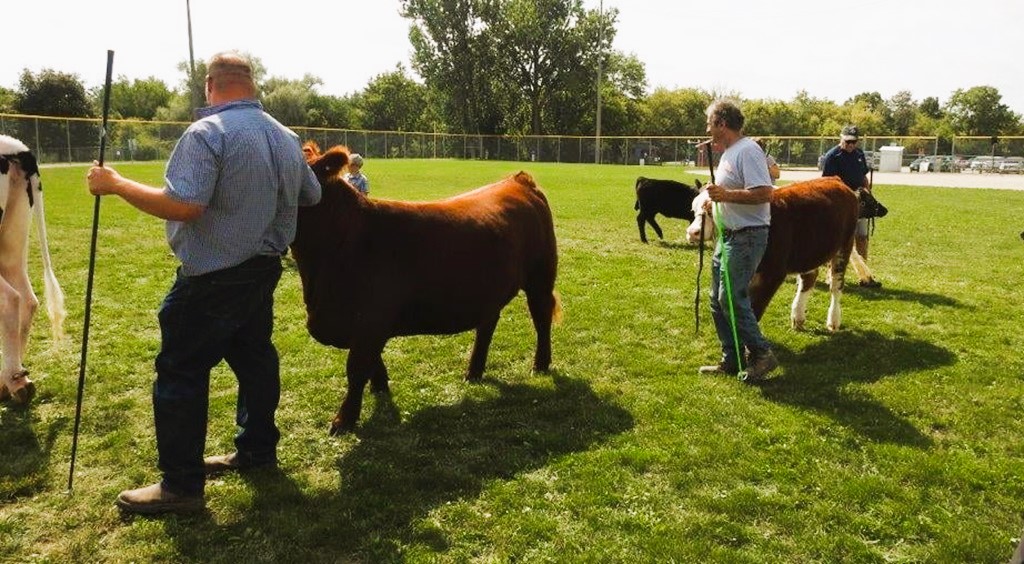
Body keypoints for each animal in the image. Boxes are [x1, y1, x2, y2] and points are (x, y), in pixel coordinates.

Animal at [295, 142, 561, 434]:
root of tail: (518, 180)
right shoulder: (365, 324)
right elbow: (372, 363)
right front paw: (380, 387)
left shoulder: (371, 320)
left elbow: (357, 369)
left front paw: (343, 420)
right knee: (487, 324)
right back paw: (474, 371)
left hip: (540, 277)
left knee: (541, 318)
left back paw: (540, 365)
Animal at [686, 176, 872, 332]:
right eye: (694, 208)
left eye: (711, 209)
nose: (693, 232)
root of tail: (836, 180)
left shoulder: (772, 273)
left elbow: (755, 307)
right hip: (808, 251)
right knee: (809, 278)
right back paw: (798, 317)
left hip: (844, 246)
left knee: (836, 285)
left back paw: (833, 320)